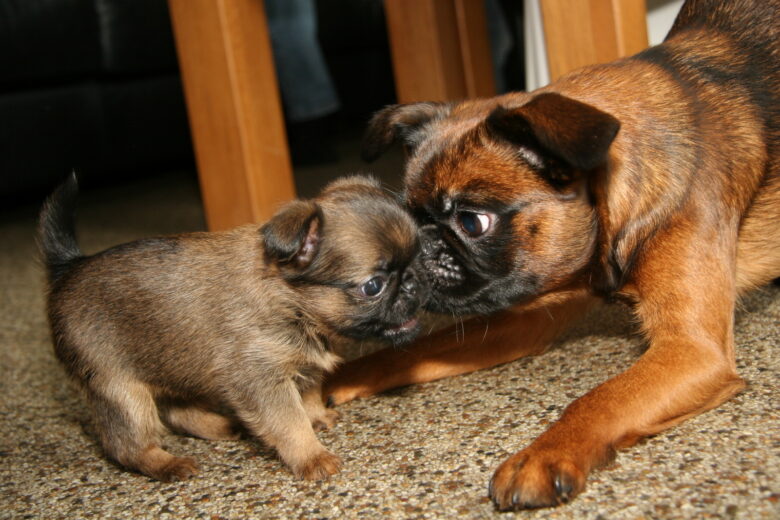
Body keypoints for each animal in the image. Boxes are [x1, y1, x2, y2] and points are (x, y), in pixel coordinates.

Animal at [38, 175, 426, 484]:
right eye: (373, 286)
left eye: (417, 256)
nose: (412, 281)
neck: (287, 297)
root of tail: (70, 267)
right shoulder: (261, 379)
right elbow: (288, 422)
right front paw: (311, 456)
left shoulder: (303, 366)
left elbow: (309, 395)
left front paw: (316, 417)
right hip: (121, 390)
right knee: (126, 446)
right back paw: (166, 464)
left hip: (174, 363)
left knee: (178, 411)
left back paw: (223, 426)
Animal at [322, 0, 780, 512]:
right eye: (410, 217)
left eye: (472, 222)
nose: (418, 248)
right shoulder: (526, 323)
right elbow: (410, 352)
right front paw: (334, 379)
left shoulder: (692, 350)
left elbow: (601, 397)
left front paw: (542, 455)